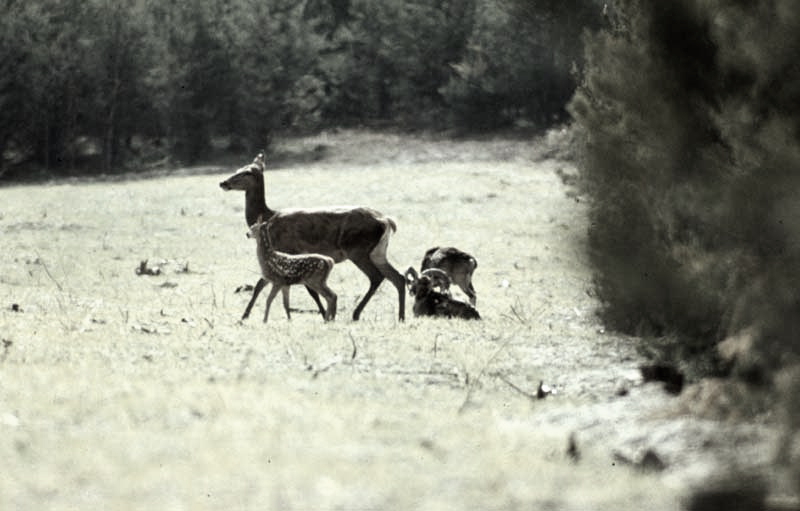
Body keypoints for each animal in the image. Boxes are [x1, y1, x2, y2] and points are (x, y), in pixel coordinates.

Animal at [219, 153, 406, 320]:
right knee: (398, 277)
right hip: (378, 251)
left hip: (357, 249)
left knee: (377, 277)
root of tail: (386, 221)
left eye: (247, 172)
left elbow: (270, 284)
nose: (223, 182)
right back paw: (401, 316)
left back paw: (356, 313)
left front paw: (244, 316)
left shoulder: (286, 251)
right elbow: (266, 284)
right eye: (238, 168)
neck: (268, 217)